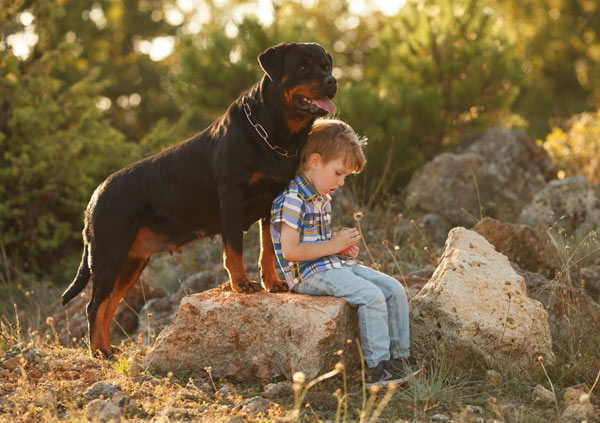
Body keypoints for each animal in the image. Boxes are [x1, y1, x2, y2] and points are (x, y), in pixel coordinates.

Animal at [61, 42, 338, 358]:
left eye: (326, 66)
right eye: (303, 67)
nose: (332, 81)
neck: (272, 133)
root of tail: (95, 198)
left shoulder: (274, 200)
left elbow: (267, 248)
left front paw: (271, 282)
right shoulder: (231, 196)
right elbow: (234, 249)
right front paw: (241, 284)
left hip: (131, 261)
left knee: (108, 304)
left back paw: (107, 349)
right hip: (109, 255)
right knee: (95, 305)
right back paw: (99, 352)